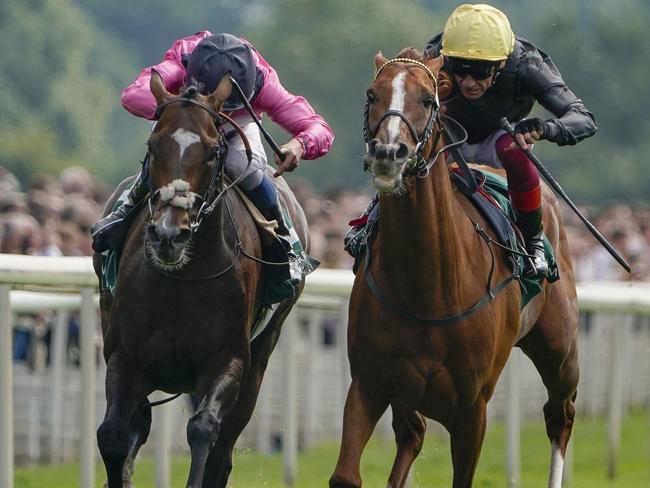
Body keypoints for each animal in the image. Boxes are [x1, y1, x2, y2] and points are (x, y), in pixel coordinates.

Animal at [92, 70, 310, 486]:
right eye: (153, 144)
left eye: (211, 151)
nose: (168, 234)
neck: (180, 282)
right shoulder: (124, 356)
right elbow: (112, 435)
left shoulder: (229, 358)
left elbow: (203, 431)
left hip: (262, 356)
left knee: (222, 452)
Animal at [330, 50, 576, 488]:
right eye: (372, 93)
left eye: (428, 99)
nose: (388, 152)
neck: (428, 288)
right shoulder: (370, 383)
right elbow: (346, 475)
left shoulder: (471, 408)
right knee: (412, 435)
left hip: (560, 350)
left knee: (560, 415)